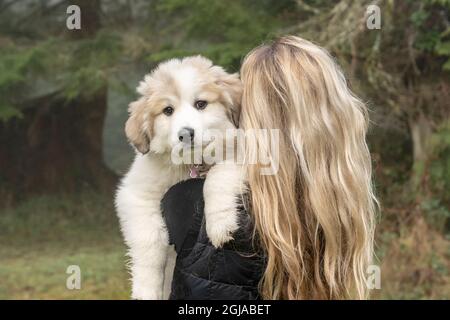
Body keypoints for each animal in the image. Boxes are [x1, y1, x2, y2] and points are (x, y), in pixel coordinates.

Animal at [114, 55, 244, 300]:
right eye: (168, 110)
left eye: (201, 104)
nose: (185, 134)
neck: (190, 164)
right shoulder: (136, 196)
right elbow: (149, 240)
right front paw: (146, 290)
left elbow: (218, 176)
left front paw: (220, 223)